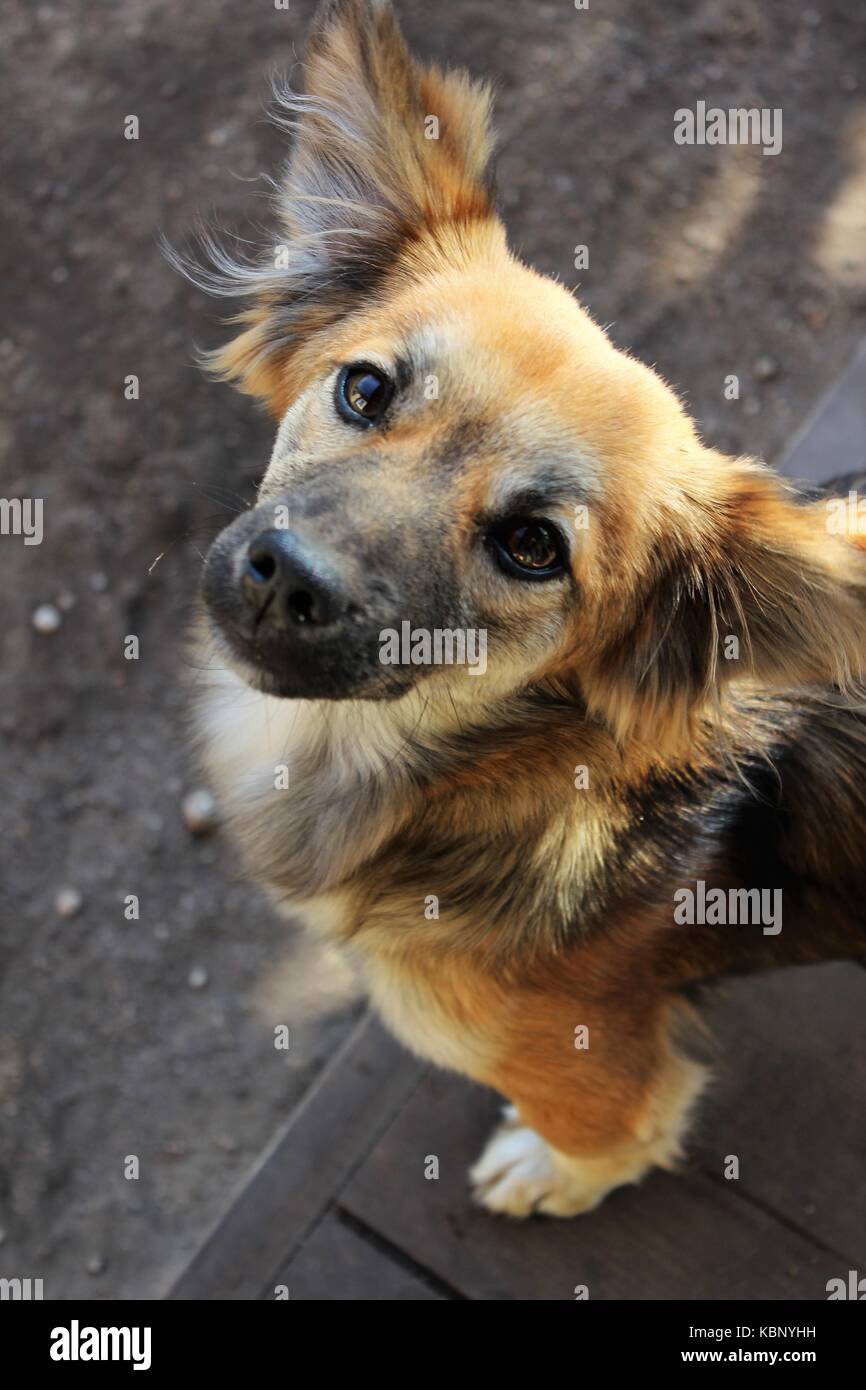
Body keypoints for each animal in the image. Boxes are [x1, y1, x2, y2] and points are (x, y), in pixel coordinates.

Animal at [173, 0, 866, 1217]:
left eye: (532, 545)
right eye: (364, 389)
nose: (289, 575)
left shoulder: (585, 1059)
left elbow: (613, 1133)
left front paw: (549, 1173)